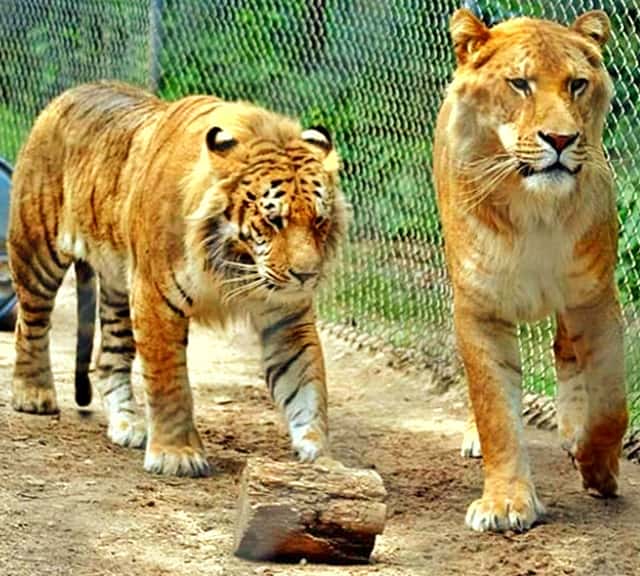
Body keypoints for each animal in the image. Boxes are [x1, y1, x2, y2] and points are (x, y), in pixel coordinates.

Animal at [7, 81, 348, 476]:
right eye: (273, 220)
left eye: (319, 220)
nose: (306, 275)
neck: (233, 264)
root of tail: (72, 91)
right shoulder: (156, 297)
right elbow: (170, 382)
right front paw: (176, 455)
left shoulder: (286, 313)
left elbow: (306, 382)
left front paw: (322, 458)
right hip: (38, 253)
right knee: (31, 323)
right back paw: (33, 395)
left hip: (118, 286)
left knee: (109, 358)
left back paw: (127, 425)